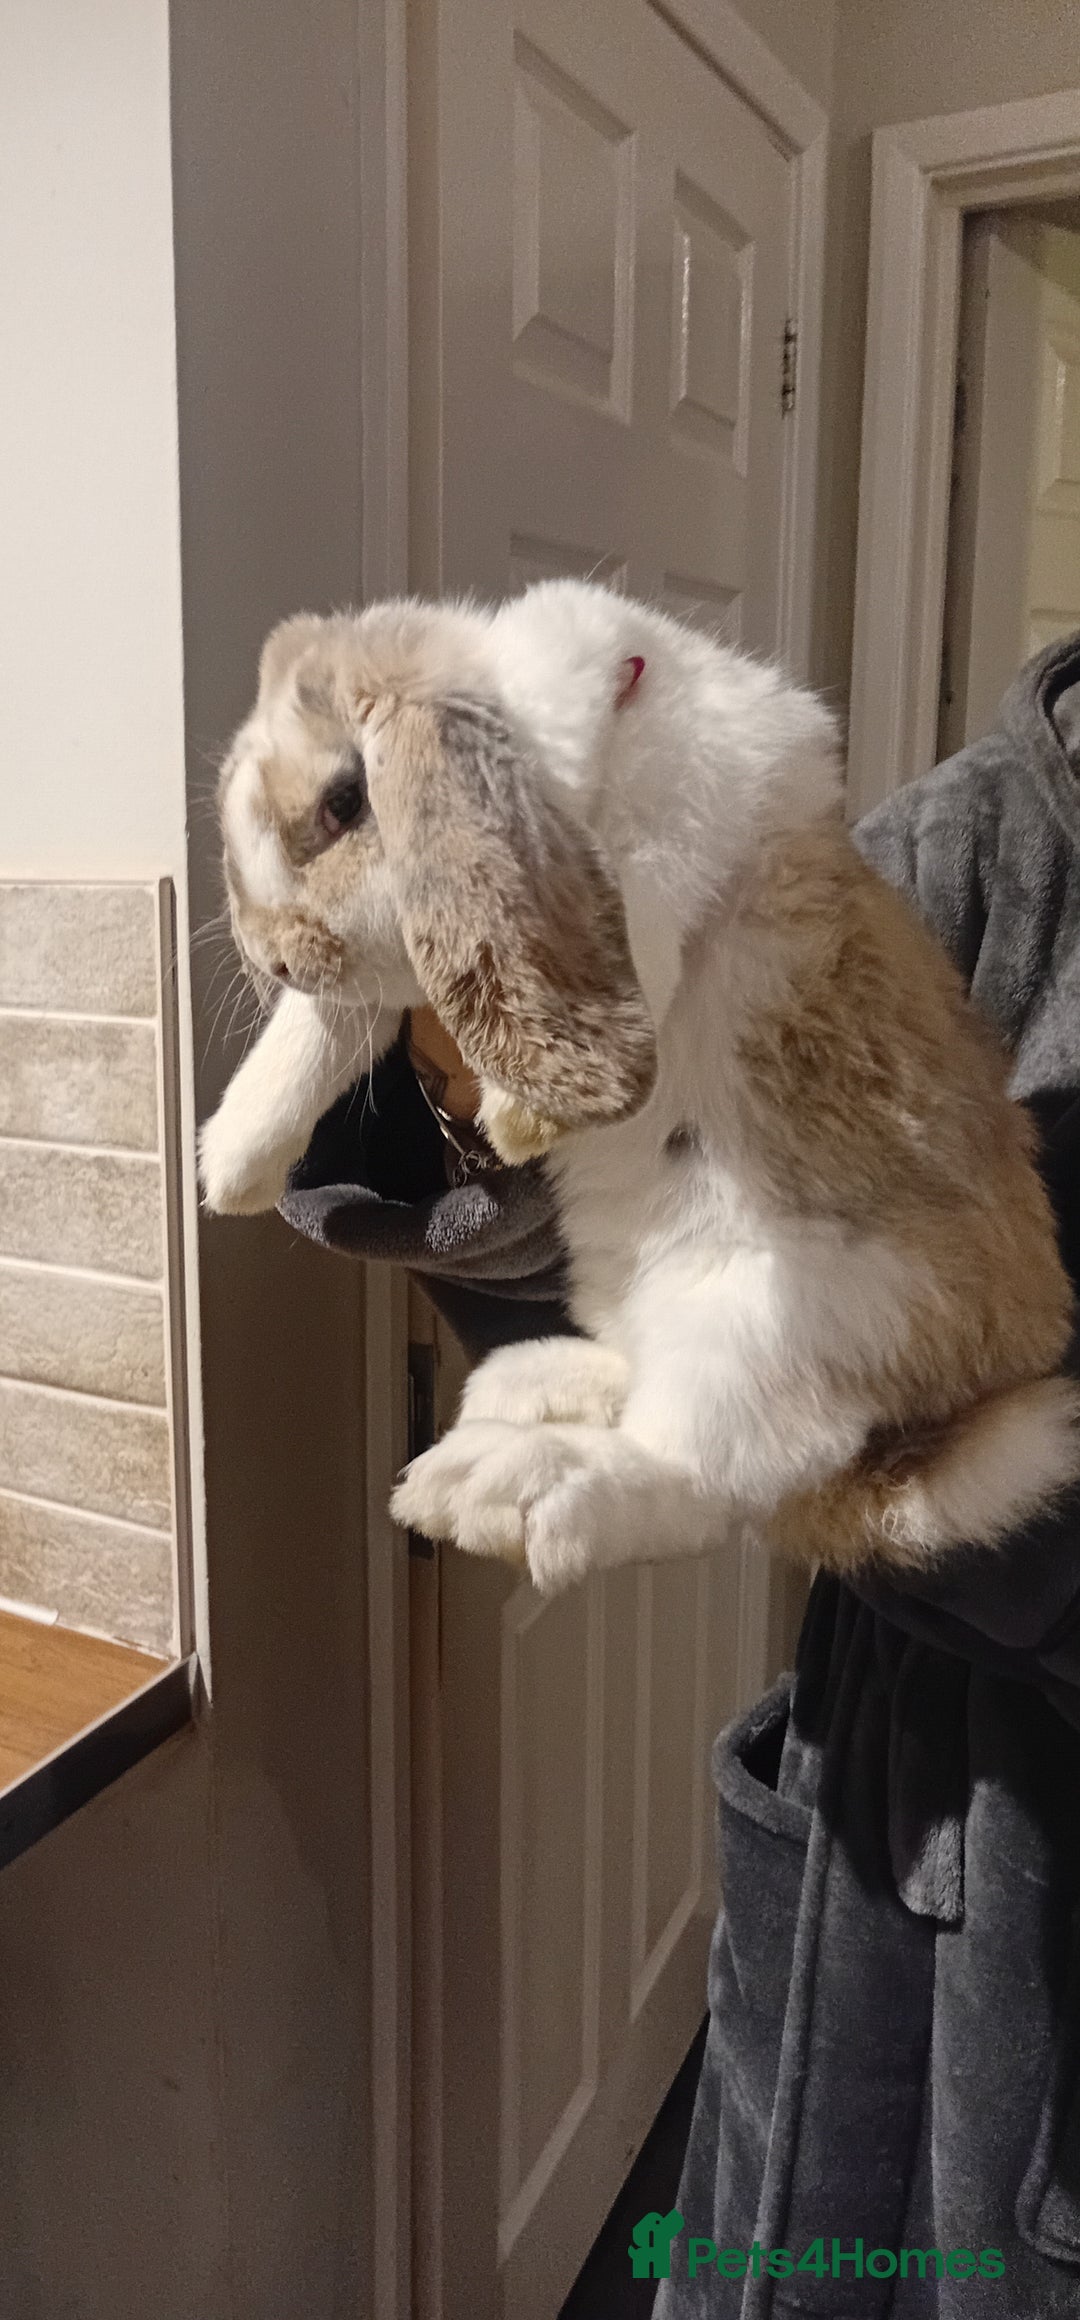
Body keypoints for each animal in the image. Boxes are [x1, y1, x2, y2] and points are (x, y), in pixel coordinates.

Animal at [199, 580, 1078, 1594]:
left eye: (347, 801)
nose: (272, 954)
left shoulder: (677, 836)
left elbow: (649, 921)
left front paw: (520, 1117)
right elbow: (322, 1029)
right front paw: (233, 1167)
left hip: (770, 1323)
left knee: (706, 1480)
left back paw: (506, 1485)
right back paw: (532, 1388)